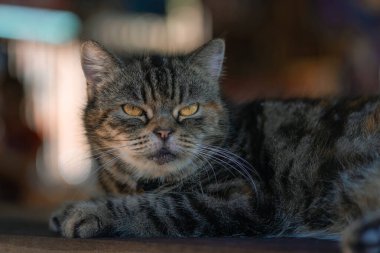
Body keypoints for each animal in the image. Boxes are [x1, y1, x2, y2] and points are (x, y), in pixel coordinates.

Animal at [49, 39, 380, 253]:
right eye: (132, 110)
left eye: (189, 109)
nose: (164, 132)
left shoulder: (240, 198)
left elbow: (158, 207)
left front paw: (87, 212)